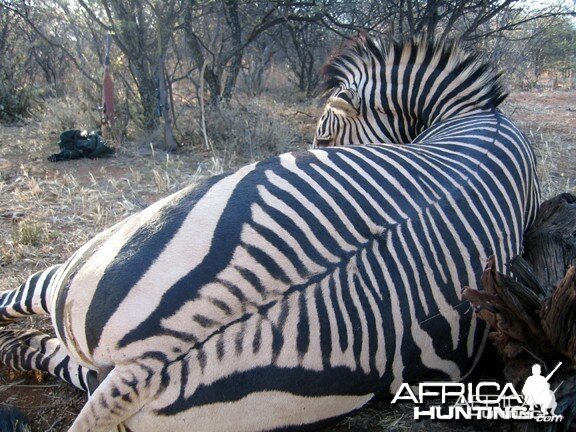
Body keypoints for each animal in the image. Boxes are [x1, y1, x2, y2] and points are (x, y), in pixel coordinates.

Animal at [0, 34, 540, 432]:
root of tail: (149, 363)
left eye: (324, 137)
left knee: (33, 329)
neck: (478, 117)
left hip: (91, 270)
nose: (314, 147)